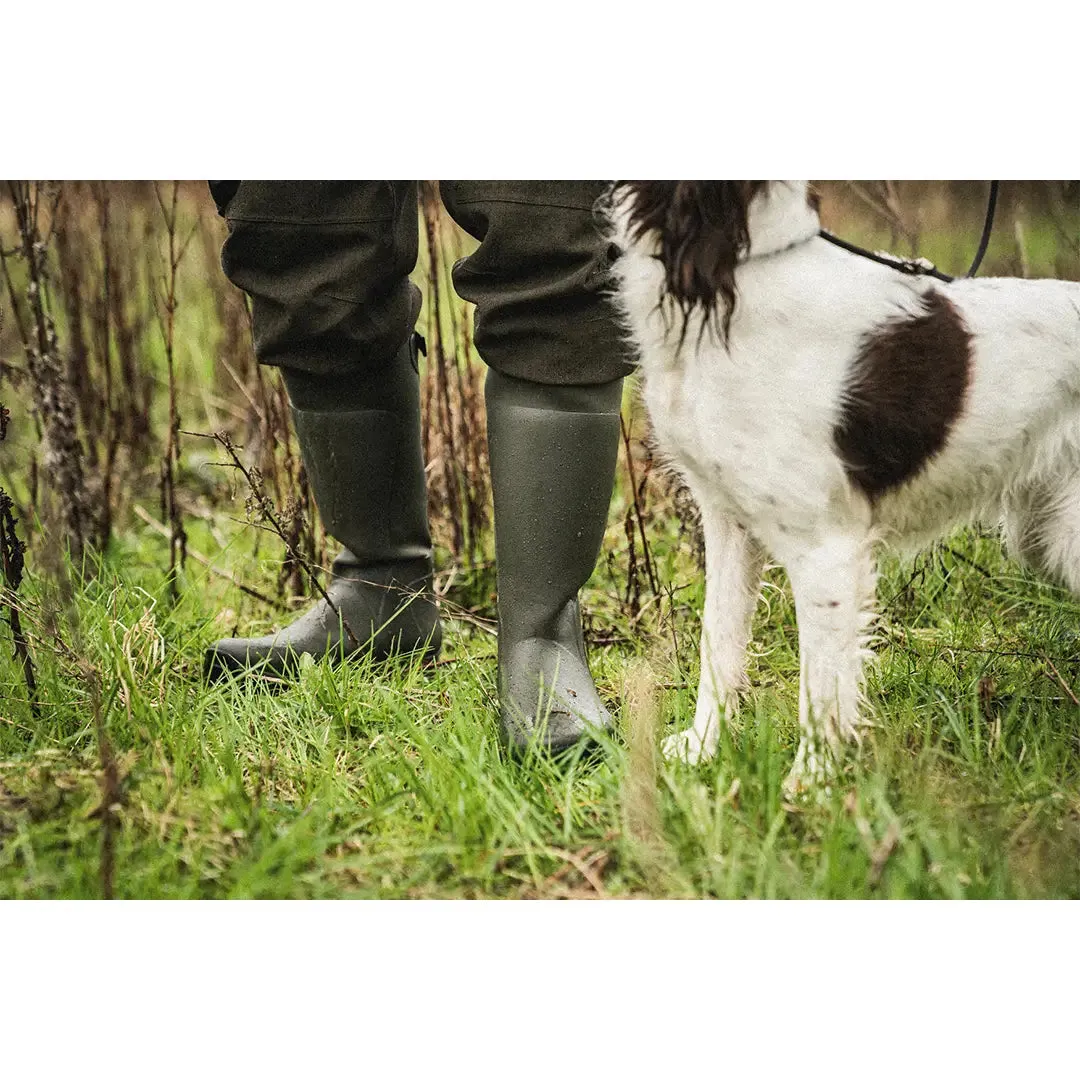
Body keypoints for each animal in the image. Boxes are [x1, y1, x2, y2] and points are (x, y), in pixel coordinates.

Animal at [604, 181, 1080, 790]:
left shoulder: (824, 547)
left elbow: (822, 685)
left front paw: (808, 785)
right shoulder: (729, 521)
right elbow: (719, 642)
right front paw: (702, 749)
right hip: (1047, 534)